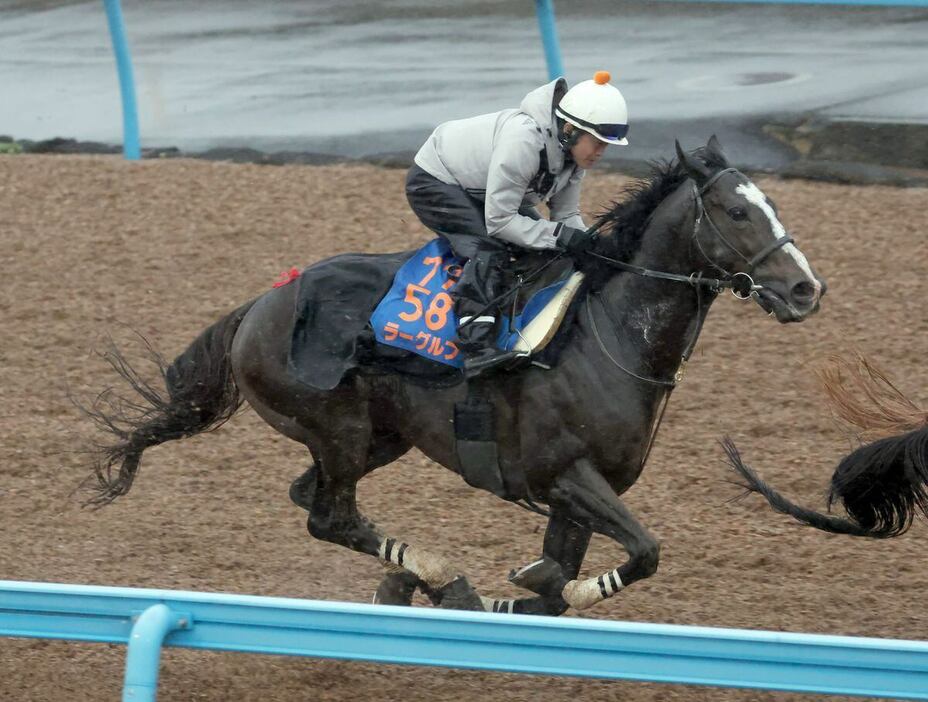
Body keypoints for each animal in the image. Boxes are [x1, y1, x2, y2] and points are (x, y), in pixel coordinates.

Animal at [83, 138, 828, 616]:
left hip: (380, 437)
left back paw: (419, 580)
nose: (805, 290)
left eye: (772, 204)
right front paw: (515, 587)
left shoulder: (578, 496)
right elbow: (639, 552)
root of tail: (261, 303)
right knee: (329, 516)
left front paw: (522, 588)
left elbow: (555, 585)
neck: (612, 334)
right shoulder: (564, 475)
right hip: (337, 427)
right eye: (737, 211)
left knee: (313, 498)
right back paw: (442, 576)